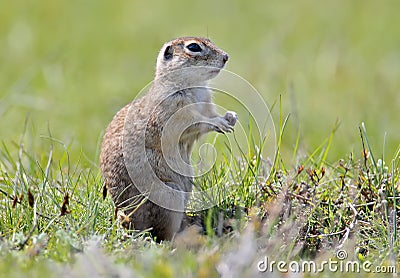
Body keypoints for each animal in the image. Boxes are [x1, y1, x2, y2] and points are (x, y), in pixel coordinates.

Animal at [100, 37, 238, 241]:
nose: (226, 57)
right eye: (193, 47)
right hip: (170, 197)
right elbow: (198, 122)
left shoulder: (206, 103)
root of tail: (131, 223)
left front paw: (231, 117)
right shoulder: (176, 112)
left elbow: (210, 115)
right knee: (163, 234)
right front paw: (220, 122)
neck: (193, 85)